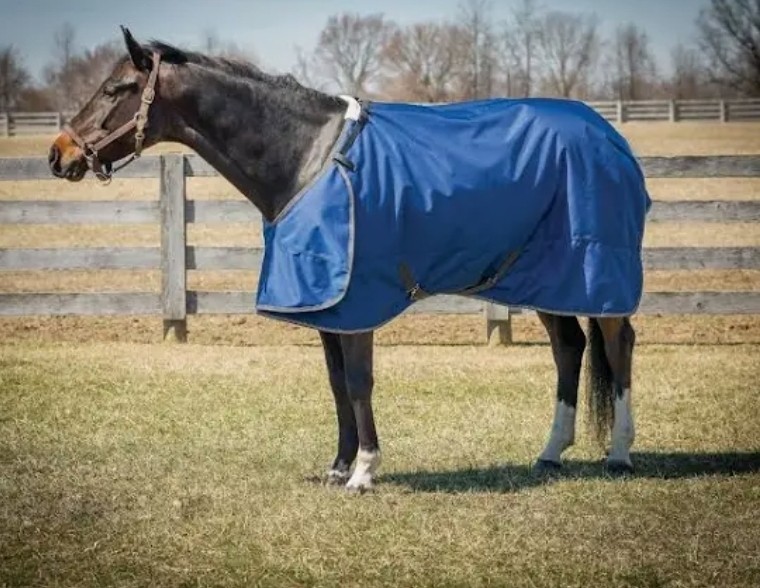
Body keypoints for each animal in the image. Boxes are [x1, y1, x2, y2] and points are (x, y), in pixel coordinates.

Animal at [48, 27, 648, 491]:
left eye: (117, 88)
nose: (59, 154)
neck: (307, 158)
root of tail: (611, 137)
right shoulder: (326, 306)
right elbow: (336, 381)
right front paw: (338, 467)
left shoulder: (356, 300)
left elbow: (359, 381)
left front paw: (363, 471)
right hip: (548, 277)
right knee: (569, 348)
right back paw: (550, 452)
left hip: (596, 272)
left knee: (617, 343)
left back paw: (619, 454)